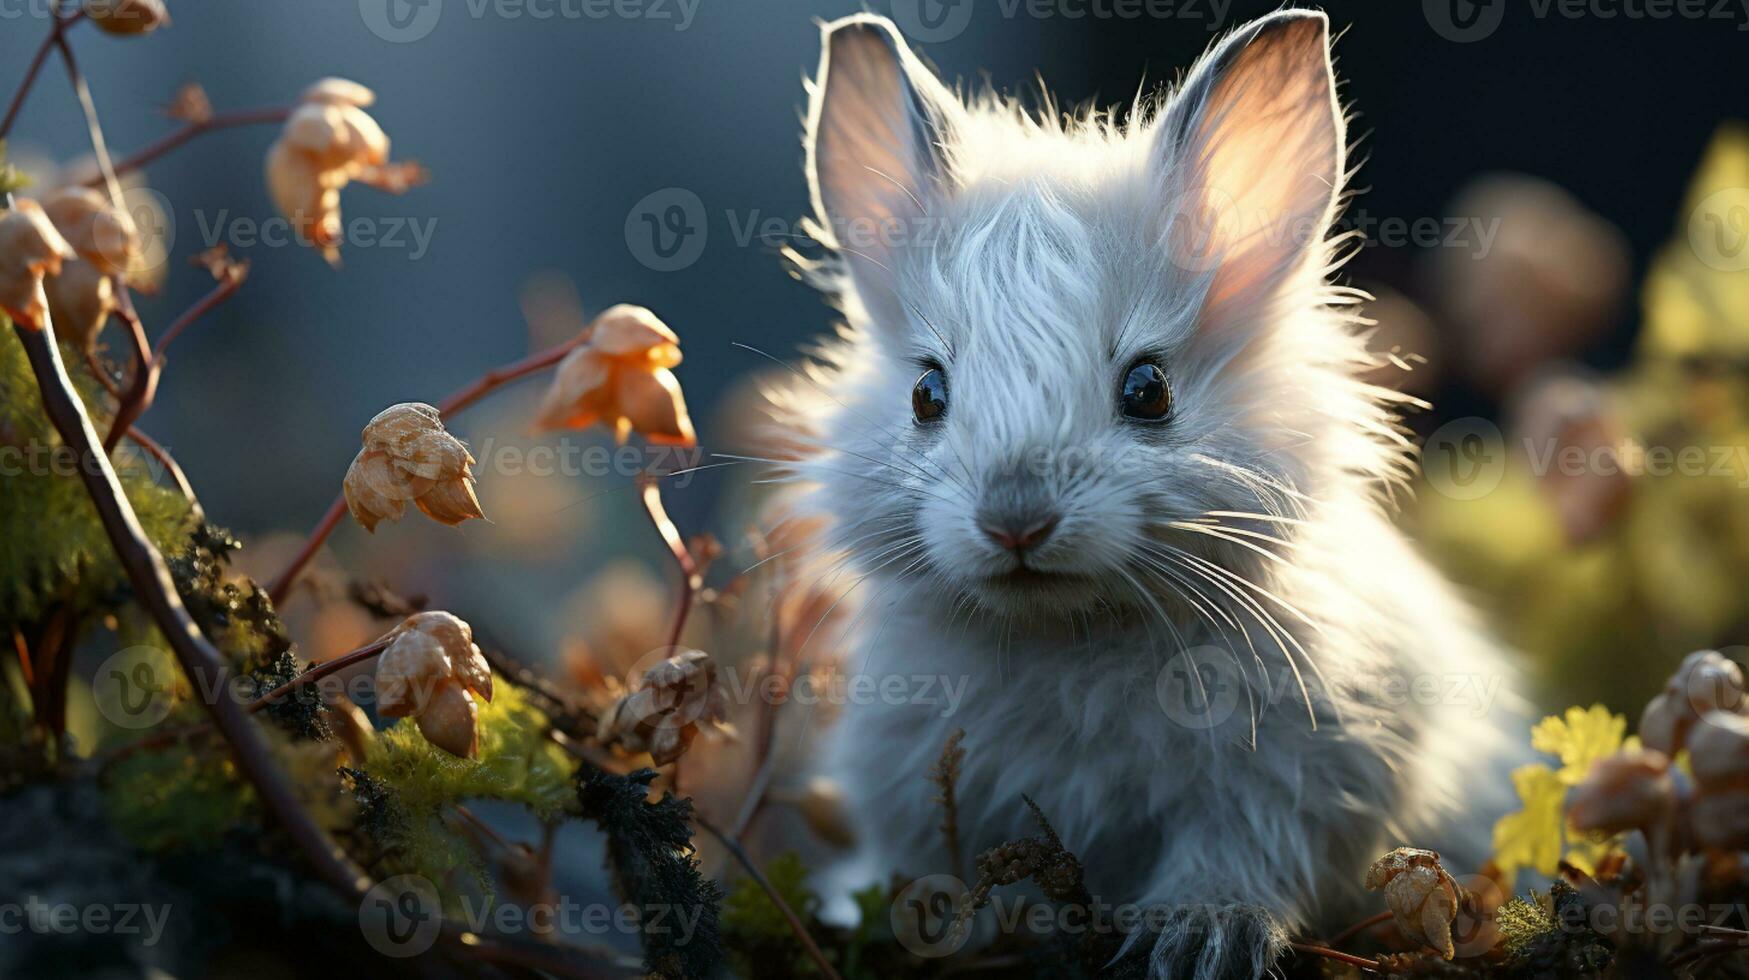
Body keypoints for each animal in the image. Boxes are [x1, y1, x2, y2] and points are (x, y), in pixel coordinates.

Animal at [773, 9, 1525, 980]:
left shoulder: (1290, 786)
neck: (1071, 631)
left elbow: (1240, 857)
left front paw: (1198, 935)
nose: (1015, 522)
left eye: (1148, 390)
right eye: (926, 395)